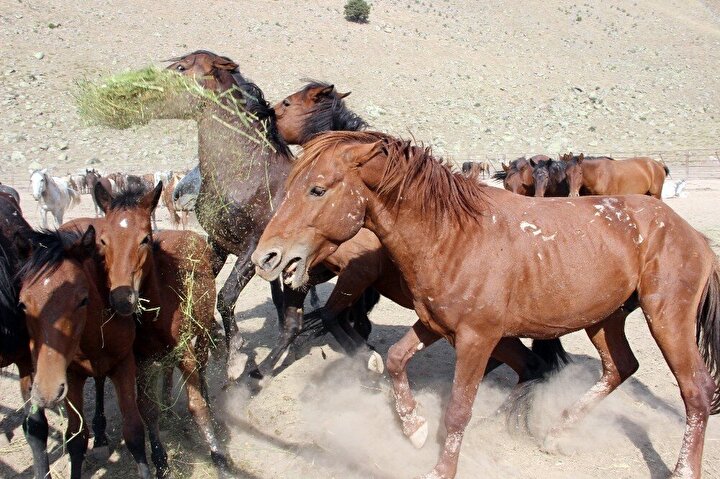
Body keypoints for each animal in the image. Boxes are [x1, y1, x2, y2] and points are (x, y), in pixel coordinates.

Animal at [17, 227, 153, 479]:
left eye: (83, 300)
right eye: (22, 304)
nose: (46, 390)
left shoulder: (124, 364)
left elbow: (134, 431)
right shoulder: (71, 376)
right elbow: (76, 438)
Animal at [91, 182, 234, 477]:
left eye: (145, 239)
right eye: (103, 241)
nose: (122, 299)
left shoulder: (184, 353)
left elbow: (196, 406)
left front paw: (219, 457)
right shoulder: (141, 361)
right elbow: (147, 411)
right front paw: (160, 461)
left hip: (201, 332)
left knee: (203, 366)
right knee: (168, 371)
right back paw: (168, 405)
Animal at [252, 130, 720, 479]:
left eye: (317, 189)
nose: (266, 258)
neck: (454, 235)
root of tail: (694, 236)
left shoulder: (478, 338)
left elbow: (459, 409)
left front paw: (440, 468)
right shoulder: (435, 325)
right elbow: (396, 361)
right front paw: (415, 427)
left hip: (667, 320)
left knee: (696, 390)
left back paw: (682, 469)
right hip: (605, 320)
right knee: (620, 367)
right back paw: (556, 432)